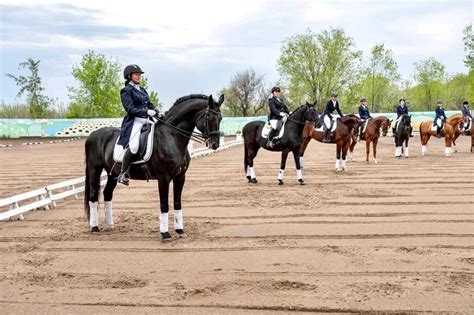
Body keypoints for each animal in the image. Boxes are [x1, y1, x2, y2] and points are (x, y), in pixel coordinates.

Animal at [84, 94, 224, 242]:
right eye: (209, 117)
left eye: (220, 118)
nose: (214, 144)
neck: (172, 137)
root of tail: (92, 134)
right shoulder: (163, 178)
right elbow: (164, 204)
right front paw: (165, 234)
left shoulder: (180, 177)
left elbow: (177, 203)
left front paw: (180, 231)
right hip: (94, 169)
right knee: (93, 195)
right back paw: (94, 228)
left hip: (113, 174)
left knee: (107, 194)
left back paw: (110, 225)